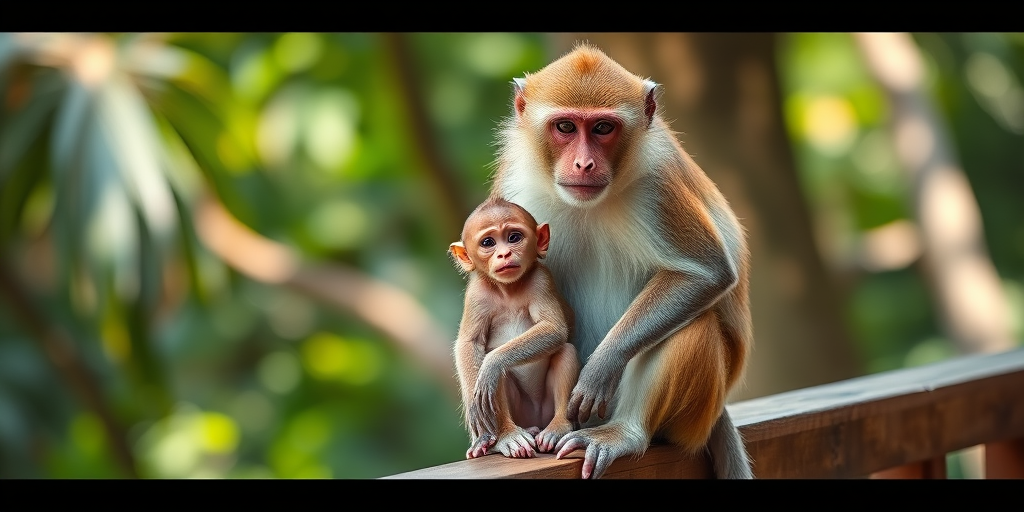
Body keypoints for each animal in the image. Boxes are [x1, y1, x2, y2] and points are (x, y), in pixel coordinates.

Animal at [448, 197, 579, 460]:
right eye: (488, 242)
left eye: (514, 237)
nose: (505, 254)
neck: (508, 289)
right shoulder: (477, 294)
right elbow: (470, 344)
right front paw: (478, 428)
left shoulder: (541, 279)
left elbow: (554, 329)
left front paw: (494, 362)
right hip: (521, 413)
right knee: (495, 380)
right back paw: (508, 436)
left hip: (544, 410)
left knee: (565, 351)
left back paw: (557, 428)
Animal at [488, 44, 753, 479]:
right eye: (565, 127)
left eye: (602, 128)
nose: (584, 164)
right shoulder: (515, 189)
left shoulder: (657, 186)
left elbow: (707, 273)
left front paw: (601, 366)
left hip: (696, 414)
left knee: (695, 323)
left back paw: (626, 432)